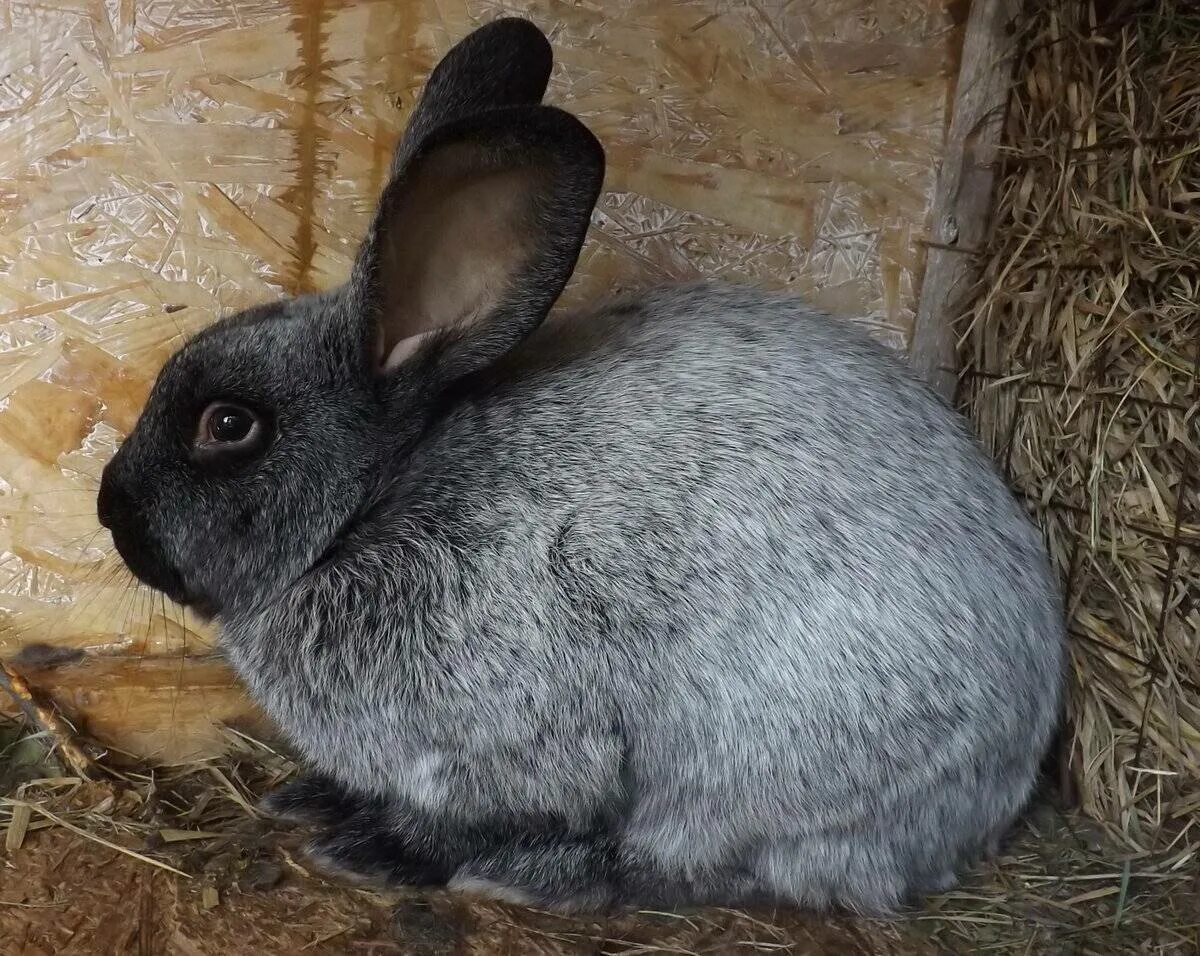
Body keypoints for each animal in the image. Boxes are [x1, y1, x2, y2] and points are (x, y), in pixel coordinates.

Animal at [98, 13, 1065, 911]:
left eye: (230, 425)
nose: (112, 513)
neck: (372, 509)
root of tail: (995, 788)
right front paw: (315, 803)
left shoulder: (511, 749)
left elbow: (480, 817)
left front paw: (371, 847)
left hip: (754, 774)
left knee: (682, 866)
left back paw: (520, 879)